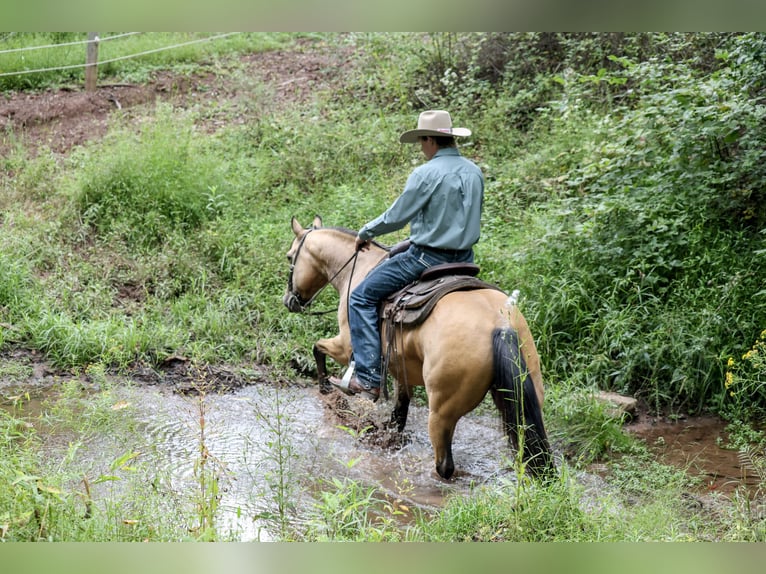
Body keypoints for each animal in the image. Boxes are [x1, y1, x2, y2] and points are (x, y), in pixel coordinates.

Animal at [283, 215, 554, 480]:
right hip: (525, 399)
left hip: (442, 412)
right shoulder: (400, 368)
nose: (289, 301)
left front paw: (327, 387)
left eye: (289, 256)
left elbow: (317, 347)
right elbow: (400, 412)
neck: (357, 268)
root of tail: (500, 325)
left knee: (444, 466)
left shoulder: (345, 345)